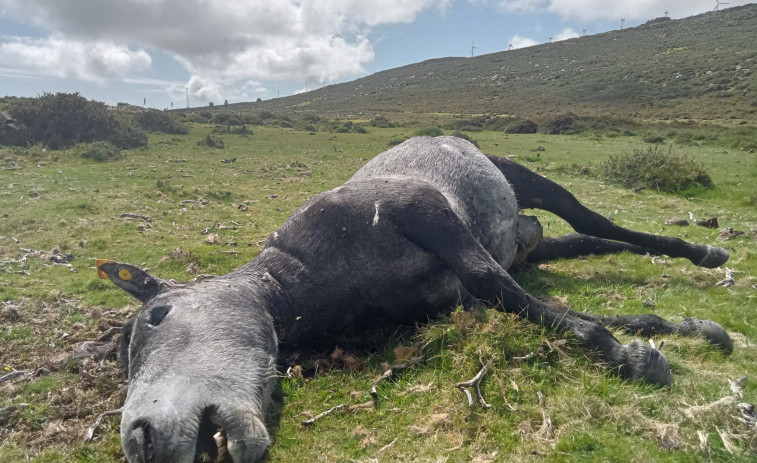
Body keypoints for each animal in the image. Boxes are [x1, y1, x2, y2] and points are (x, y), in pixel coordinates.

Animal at [97, 137, 728, 463]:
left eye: (155, 318)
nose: (141, 441)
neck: (315, 276)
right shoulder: (454, 298)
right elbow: (526, 304)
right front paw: (670, 332)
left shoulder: (424, 211)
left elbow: (499, 287)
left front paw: (629, 354)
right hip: (527, 245)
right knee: (579, 243)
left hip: (524, 179)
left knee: (592, 221)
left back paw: (701, 252)